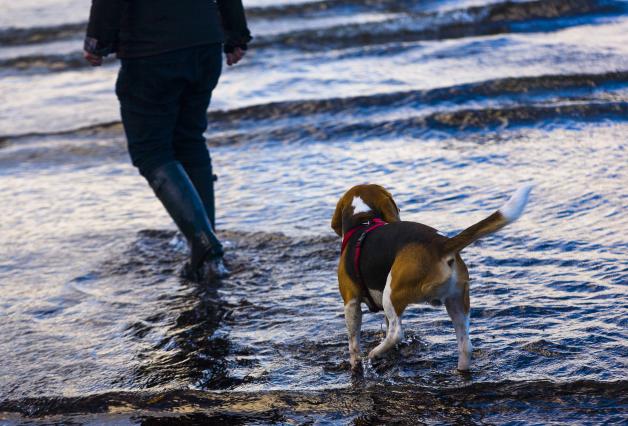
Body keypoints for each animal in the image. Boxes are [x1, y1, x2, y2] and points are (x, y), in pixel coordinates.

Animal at [332, 185, 532, 372]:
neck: (363, 219)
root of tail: (440, 244)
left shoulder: (351, 302)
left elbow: (353, 342)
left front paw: (355, 364)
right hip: (456, 302)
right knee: (465, 345)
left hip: (392, 292)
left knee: (396, 333)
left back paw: (375, 353)